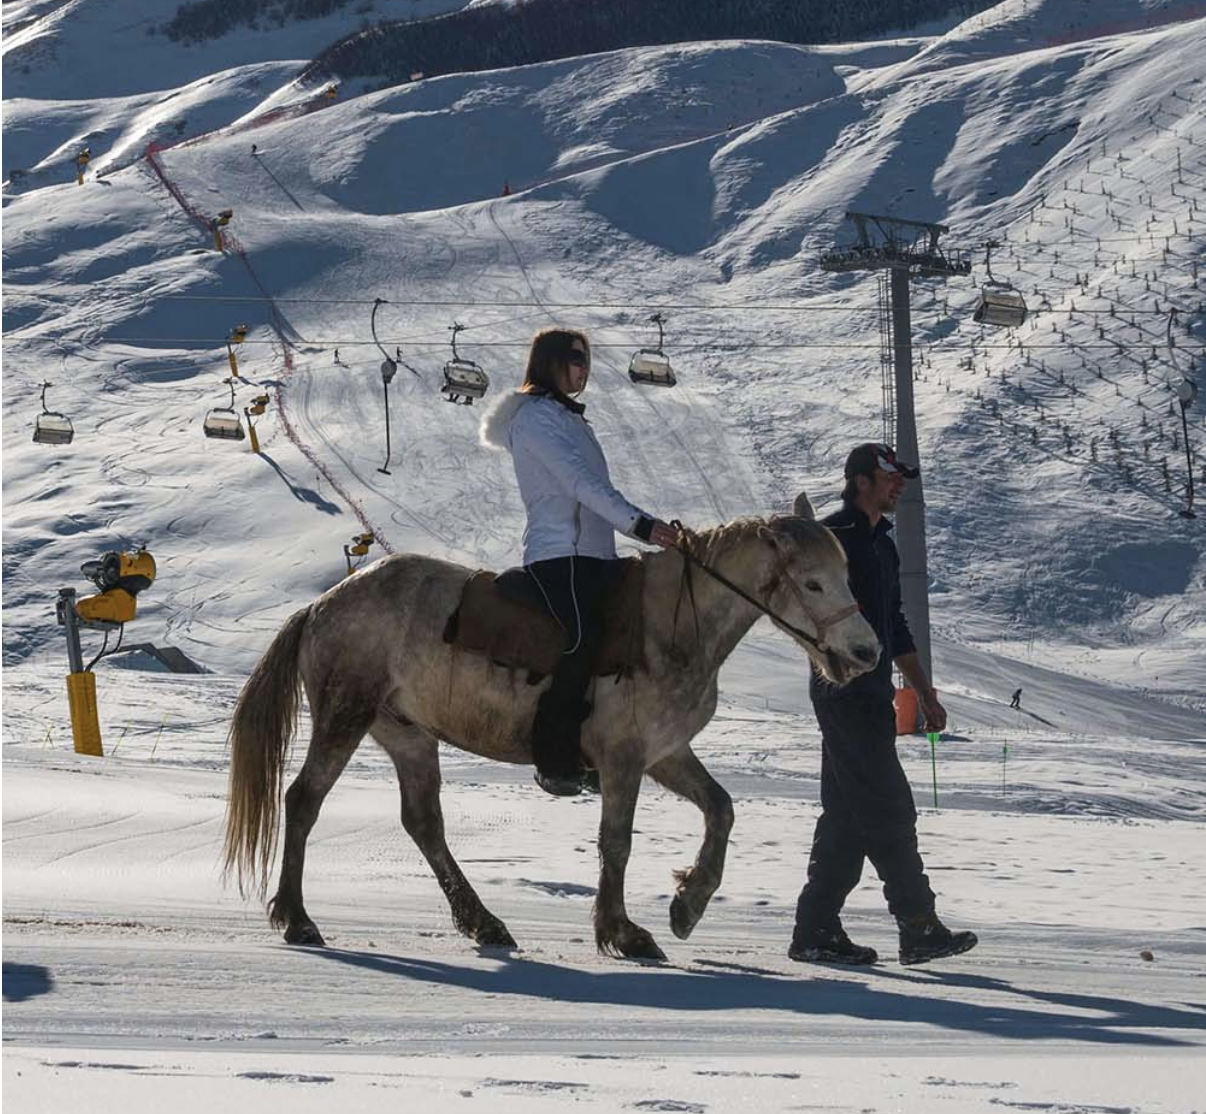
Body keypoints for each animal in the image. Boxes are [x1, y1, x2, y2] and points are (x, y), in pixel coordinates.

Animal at [224, 496, 877, 959]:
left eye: (845, 575)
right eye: (813, 582)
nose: (866, 653)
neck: (672, 626)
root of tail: (325, 603)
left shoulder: (665, 753)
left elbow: (721, 808)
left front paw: (687, 904)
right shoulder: (623, 758)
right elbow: (617, 841)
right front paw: (623, 932)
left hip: (407, 734)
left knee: (424, 824)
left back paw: (483, 923)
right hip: (345, 715)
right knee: (304, 800)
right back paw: (298, 919)